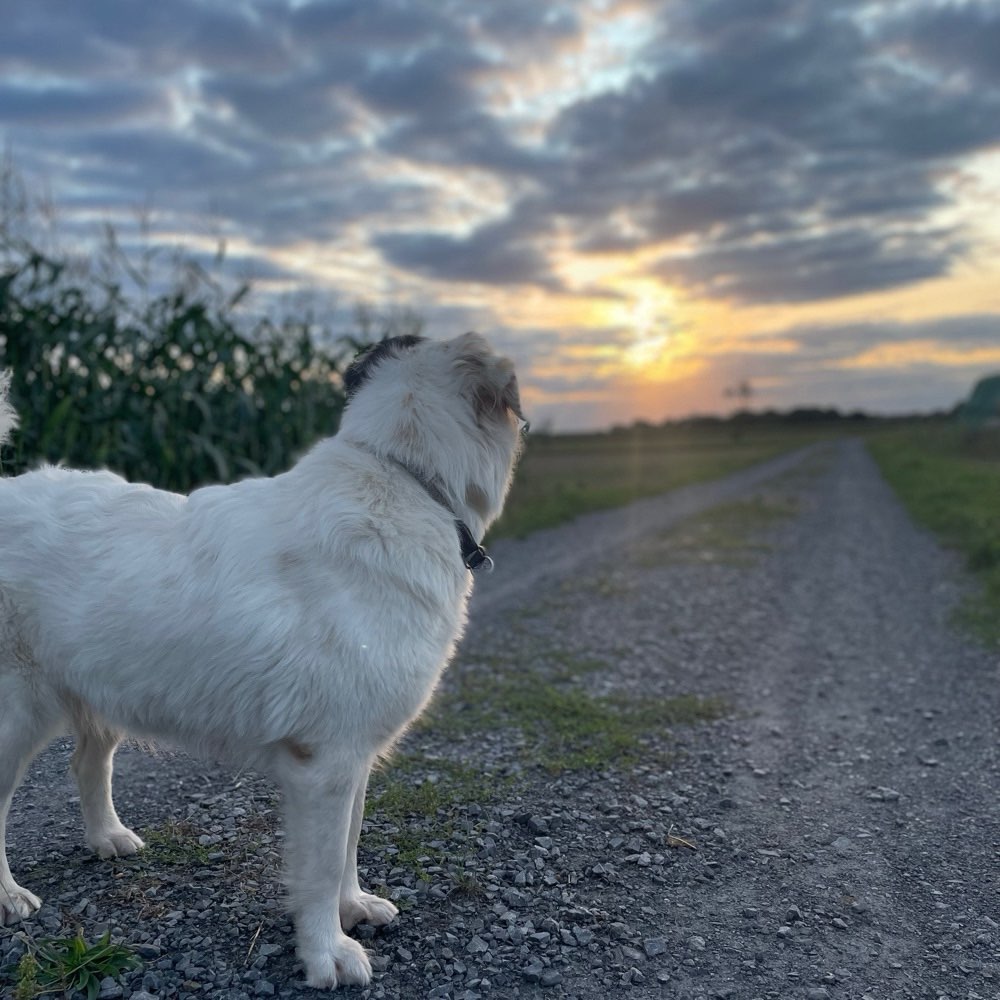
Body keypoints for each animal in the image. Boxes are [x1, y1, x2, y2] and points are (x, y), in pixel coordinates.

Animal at [0, 334, 528, 984]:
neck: (406, 479)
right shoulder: (323, 763)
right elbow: (321, 865)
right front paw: (328, 952)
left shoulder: (352, 755)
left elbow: (348, 844)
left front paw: (353, 908)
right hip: (15, 715)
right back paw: (8, 896)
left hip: (105, 686)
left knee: (88, 764)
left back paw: (108, 837)